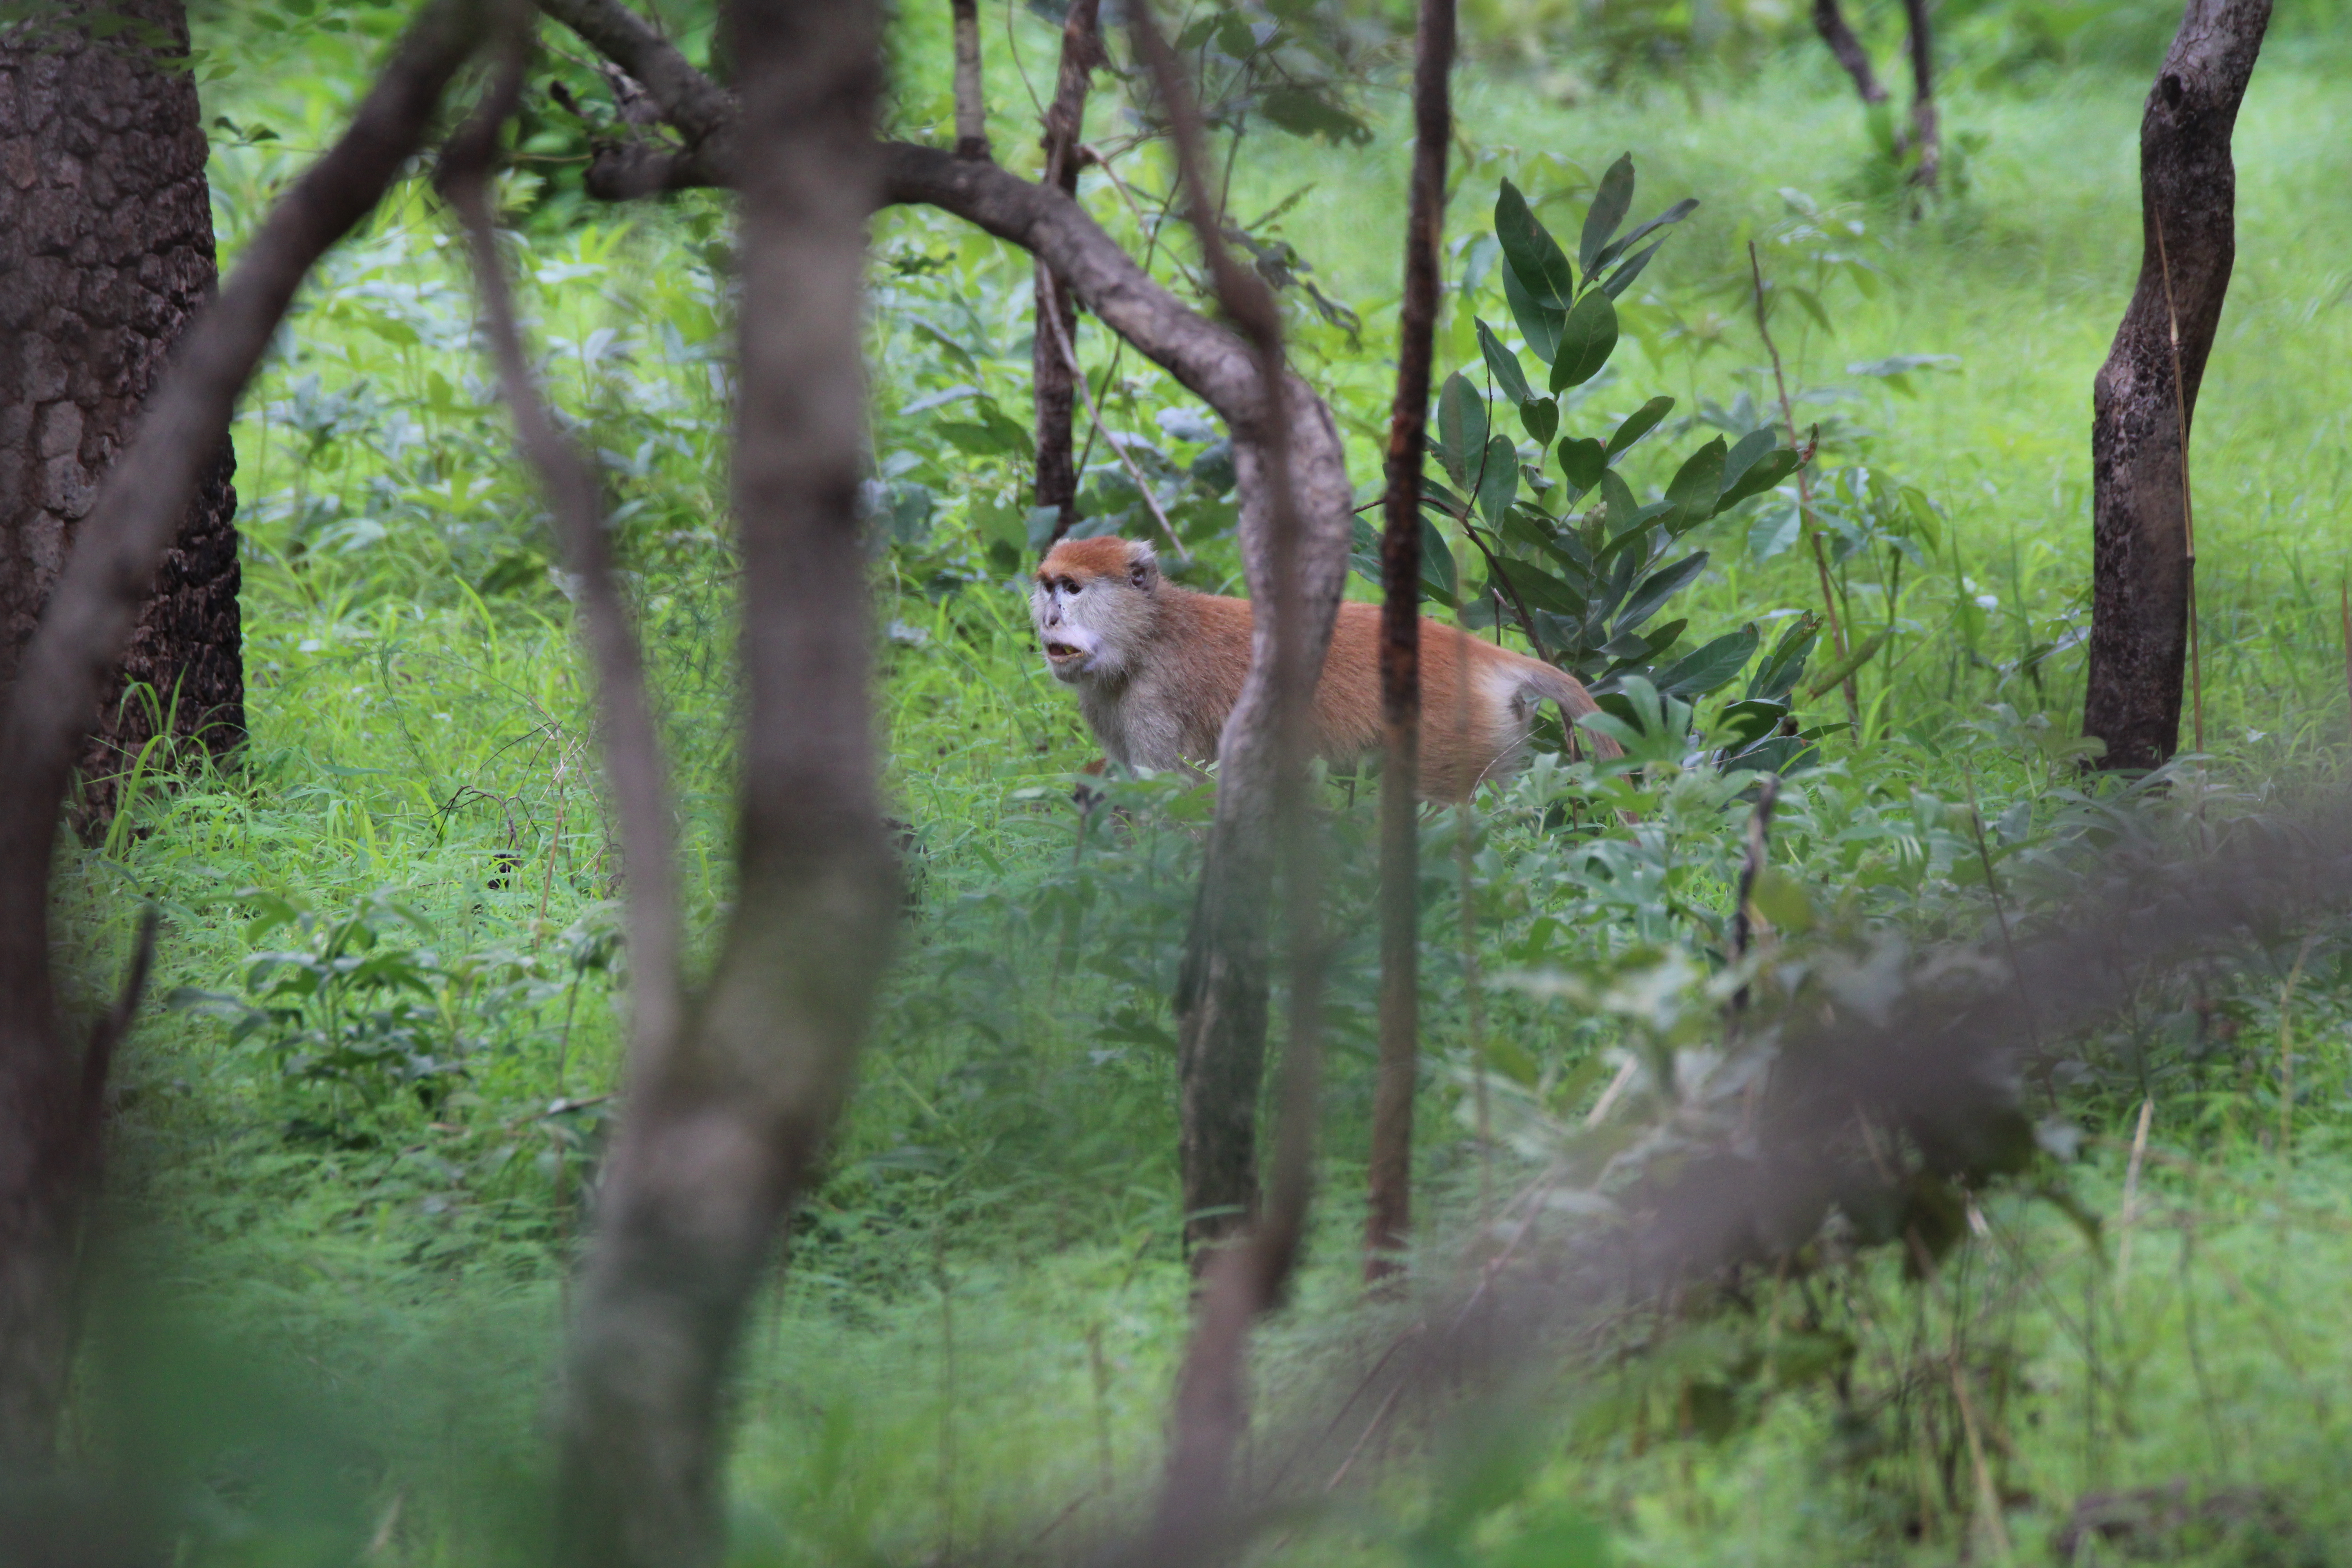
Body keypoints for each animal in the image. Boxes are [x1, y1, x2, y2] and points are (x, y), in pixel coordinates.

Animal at [1030, 535, 1620, 802]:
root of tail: (1473, 652)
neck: (1147, 635)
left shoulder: (1158, 700)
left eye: (1074, 589)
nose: (1051, 618)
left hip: (1452, 733)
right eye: (1048, 586)